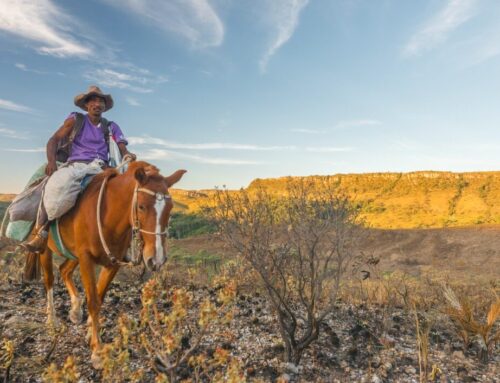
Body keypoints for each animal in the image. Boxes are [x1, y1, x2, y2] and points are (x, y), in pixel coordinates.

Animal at [25, 161, 186, 368]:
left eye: (171, 208)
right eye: (141, 206)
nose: (156, 259)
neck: (108, 217)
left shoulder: (112, 263)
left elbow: (99, 297)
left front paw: (90, 333)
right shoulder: (86, 259)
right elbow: (93, 301)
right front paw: (97, 351)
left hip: (73, 254)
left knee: (64, 271)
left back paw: (75, 310)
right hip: (46, 250)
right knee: (49, 279)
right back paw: (52, 319)